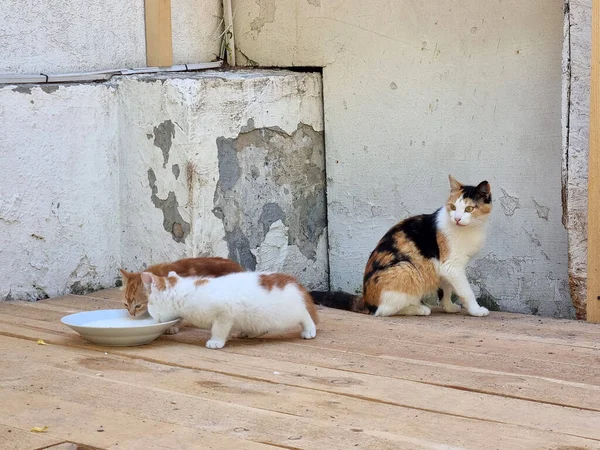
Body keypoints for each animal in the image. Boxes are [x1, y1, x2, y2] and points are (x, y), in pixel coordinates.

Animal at [141, 268, 318, 350]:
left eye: (149, 305)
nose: (150, 314)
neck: (188, 293)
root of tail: (294, 282)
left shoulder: (225, 313)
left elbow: (218, 329)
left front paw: (216, 341)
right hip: (260, 317)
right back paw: (249, 333)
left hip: (288, 312)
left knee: (305, 316)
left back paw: (309, 330)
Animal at [310, 175, 492, 316]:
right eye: (453, 207)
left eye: (469, 209)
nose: (457, 218)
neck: (469, 229)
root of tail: (366, 300)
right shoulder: (452, 267)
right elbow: (465, 291)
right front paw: (476, 310)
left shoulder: (444, 268)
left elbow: (446, 290)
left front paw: (448, 307)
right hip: (407, 269)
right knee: (383, 310)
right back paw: (419, 308)